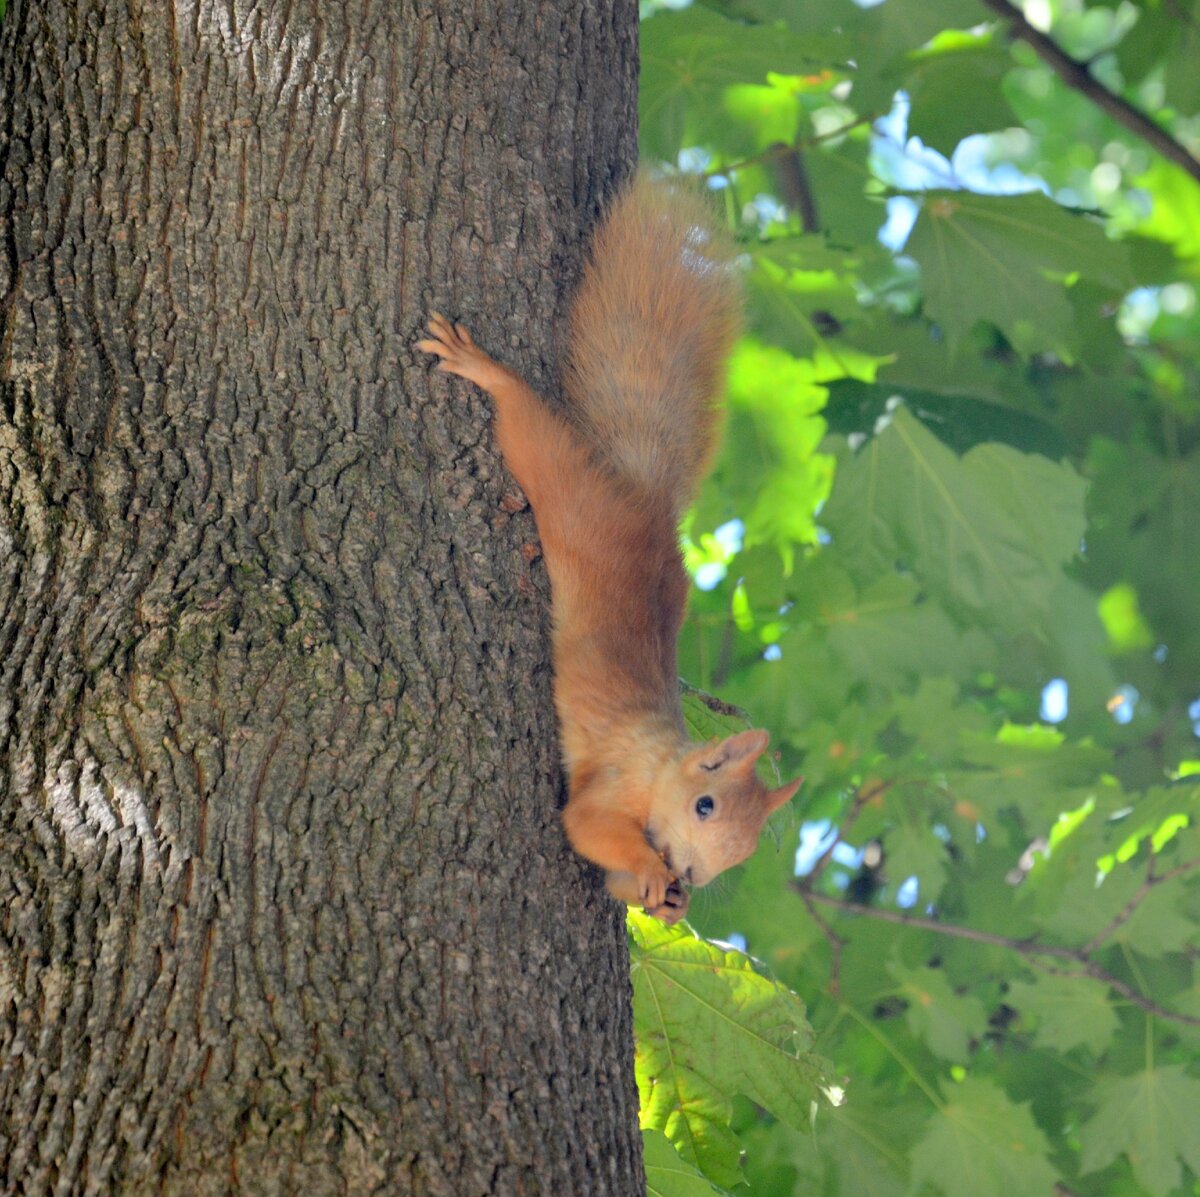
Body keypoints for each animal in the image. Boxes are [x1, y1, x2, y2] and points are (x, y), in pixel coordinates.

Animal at [417, 177, 801, 925]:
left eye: (742, 851)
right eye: (705, 804)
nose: (691, 873)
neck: (662, 767)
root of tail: (647, 507)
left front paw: (668, 902)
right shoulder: (614, 778)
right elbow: (587, 826)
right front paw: (652, 873)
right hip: (572, 497)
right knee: (534, 437)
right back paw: (486, 371)